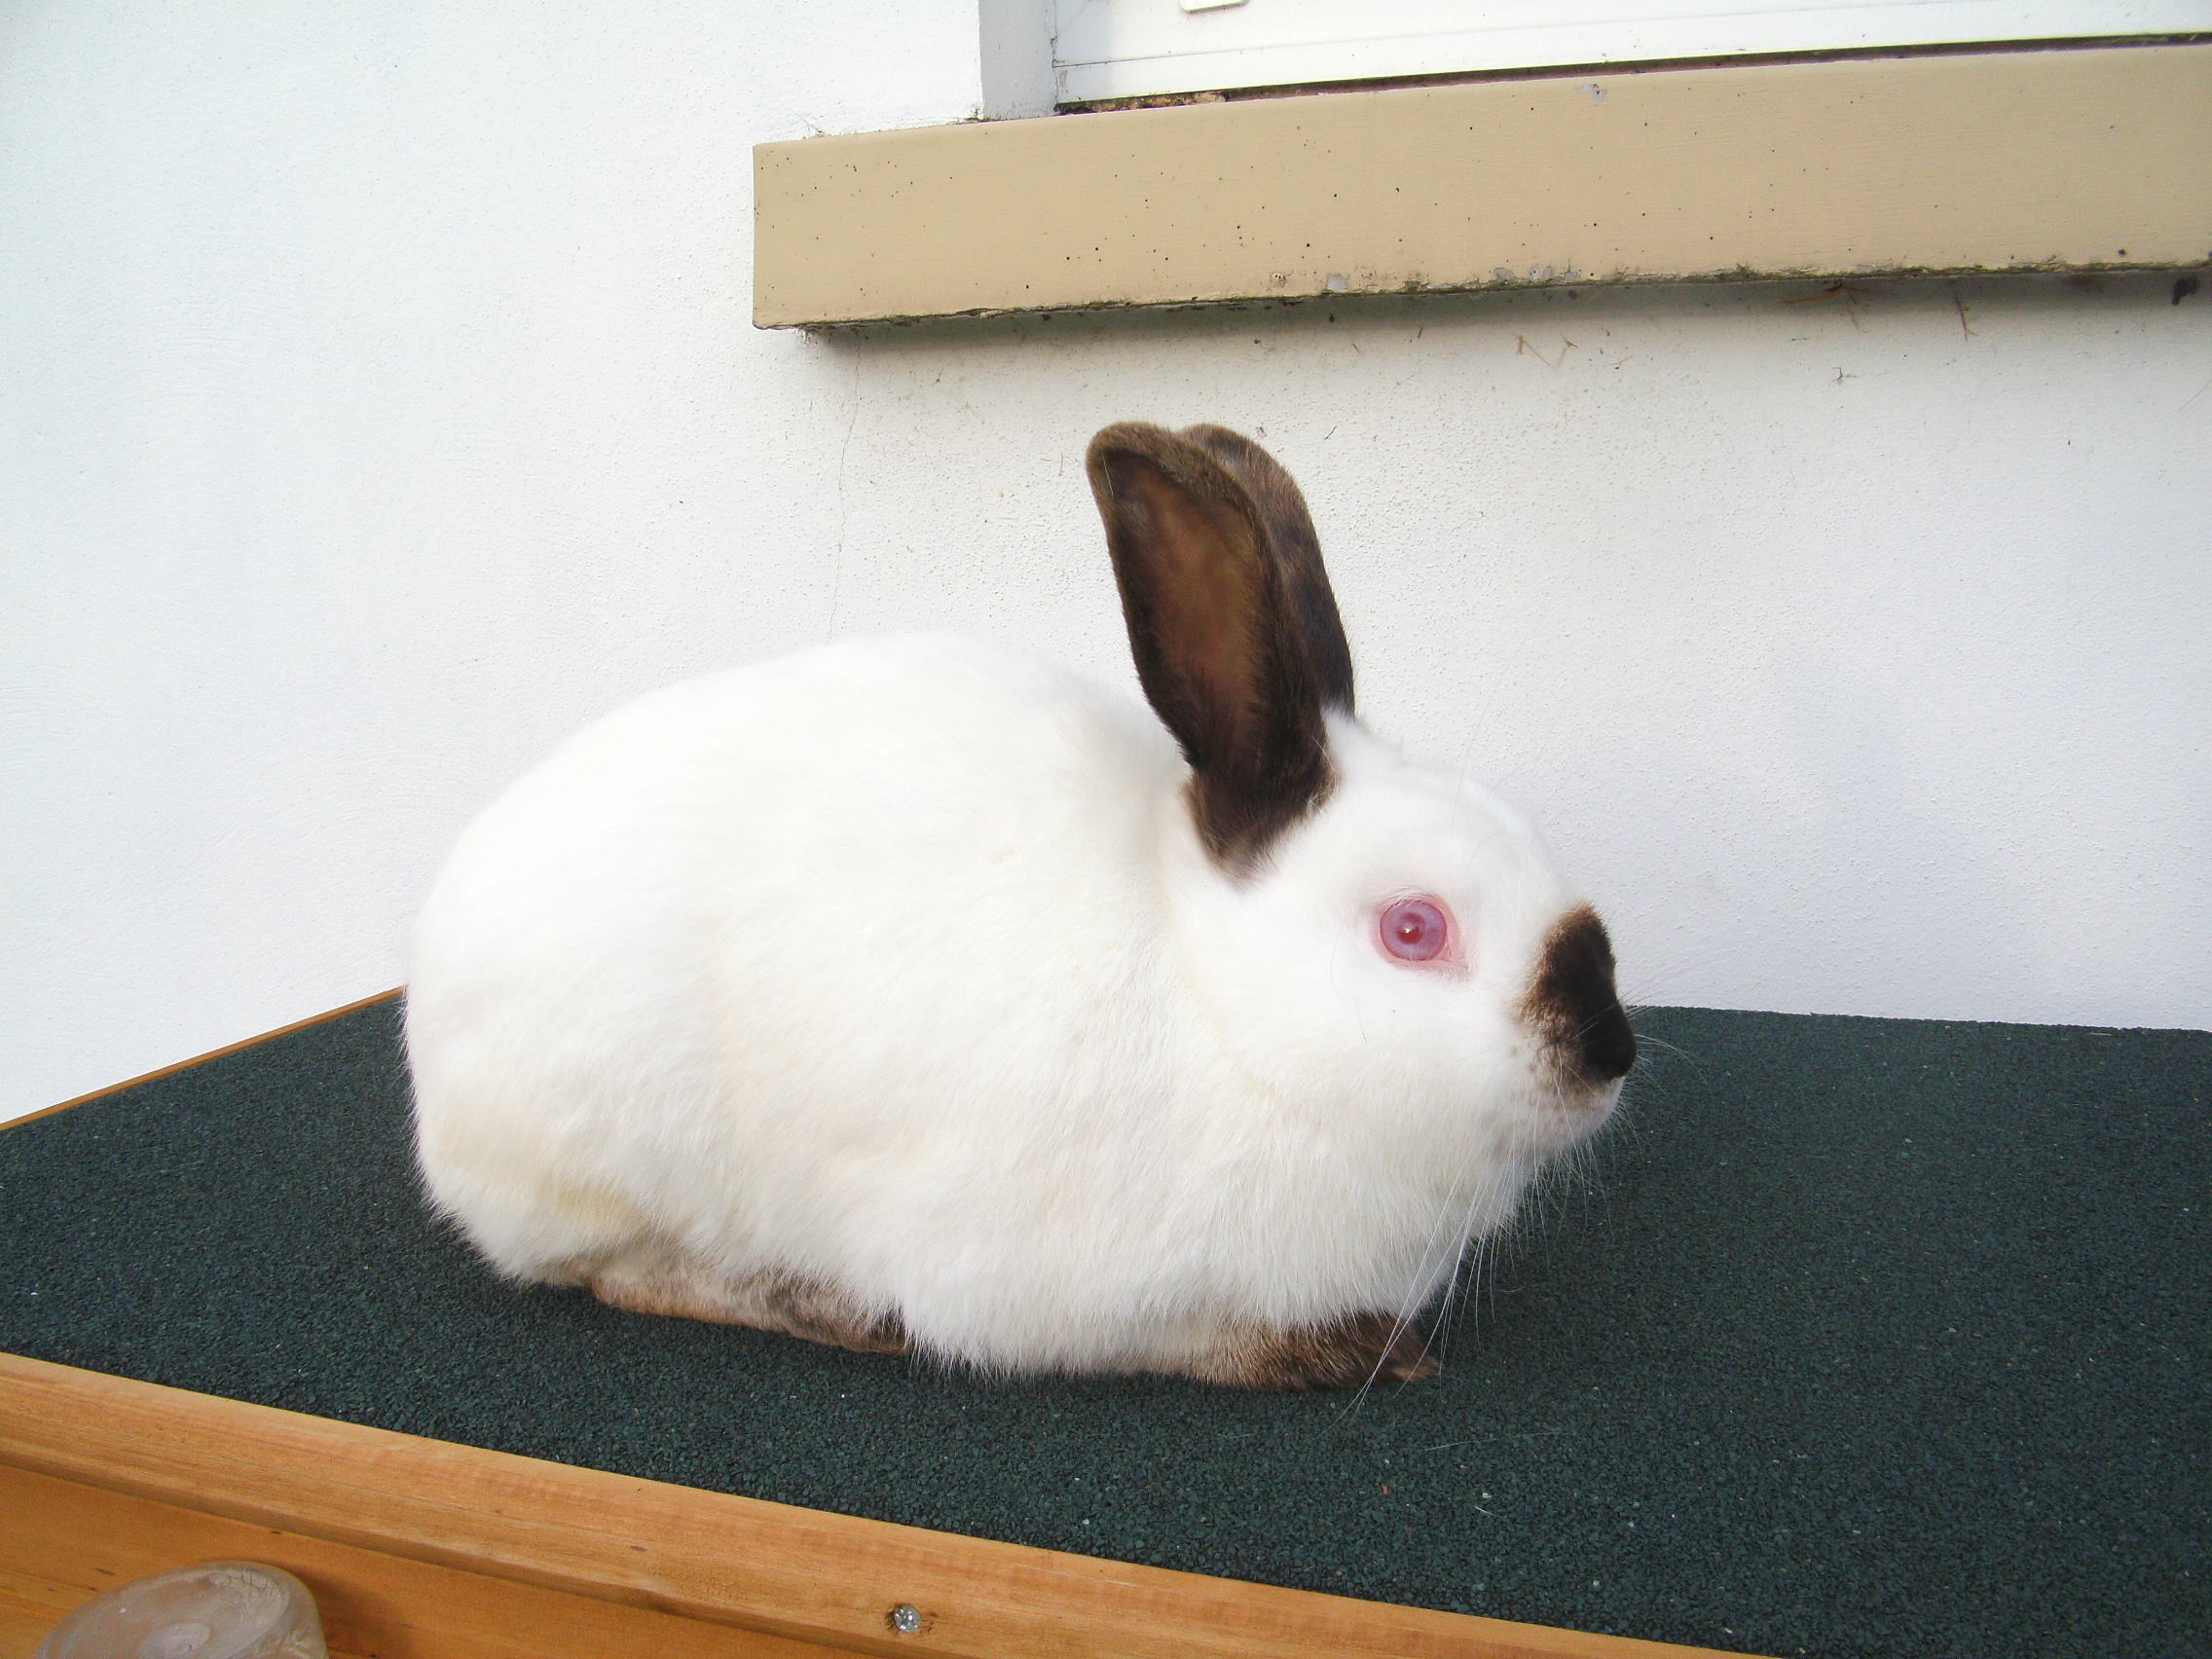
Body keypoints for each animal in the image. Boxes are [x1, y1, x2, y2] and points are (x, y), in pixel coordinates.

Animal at [406, 421, 1635, 1390]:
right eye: (1412, 929)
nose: (1608, 1051)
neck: (1231, 1012)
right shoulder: (1063, 1293)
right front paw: (1332, 1351)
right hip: (606, 1161)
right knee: (617, 1274)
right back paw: (821, 1305)